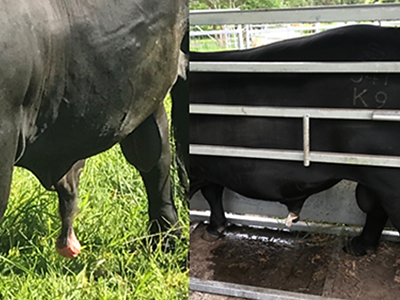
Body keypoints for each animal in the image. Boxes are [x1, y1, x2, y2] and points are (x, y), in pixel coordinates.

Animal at [188, 24, 400, 256]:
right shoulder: (210, 164)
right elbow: (212, 192)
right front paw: (214, 228)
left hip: (389, 180)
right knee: (375, 207)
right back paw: (358, 245)